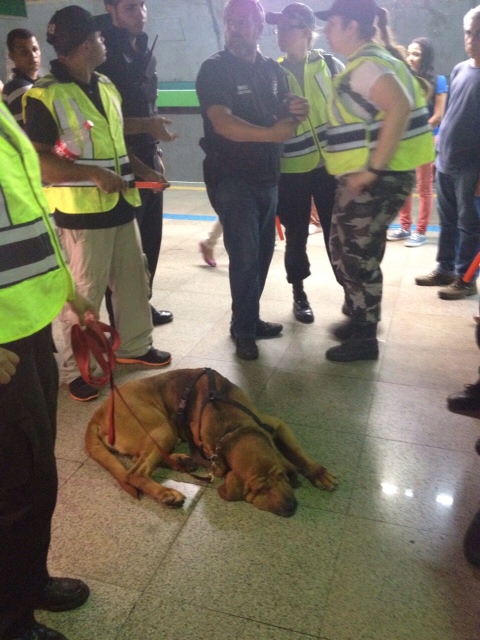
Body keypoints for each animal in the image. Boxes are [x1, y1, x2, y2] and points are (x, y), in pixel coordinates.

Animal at [84, 368, 336, 516]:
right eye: (258, 489)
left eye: (282, 476)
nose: (290, 508)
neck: (233, 429)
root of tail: (98, 413)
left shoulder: (276, 424)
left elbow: (297, 452)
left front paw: (318, 473)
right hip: (162, 429)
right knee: (134, 473)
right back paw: (167, 493)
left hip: (161, 434)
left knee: (141, 459)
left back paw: (181, 461)